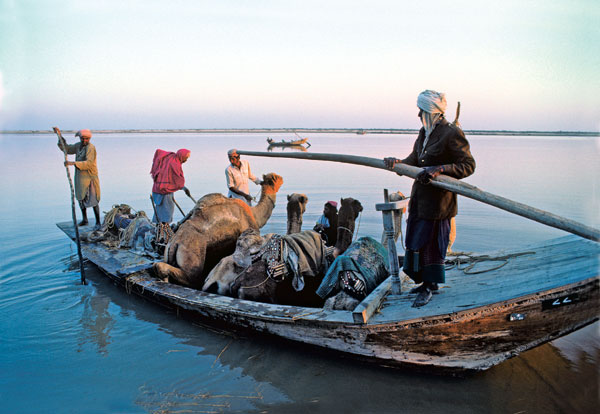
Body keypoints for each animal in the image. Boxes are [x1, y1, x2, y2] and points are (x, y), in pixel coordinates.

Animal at [155, 171, 286, 288]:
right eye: (276, 178)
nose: (282, 177)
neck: (255, 214)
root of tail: (175, 243)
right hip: (192, 253)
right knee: (191, 276)